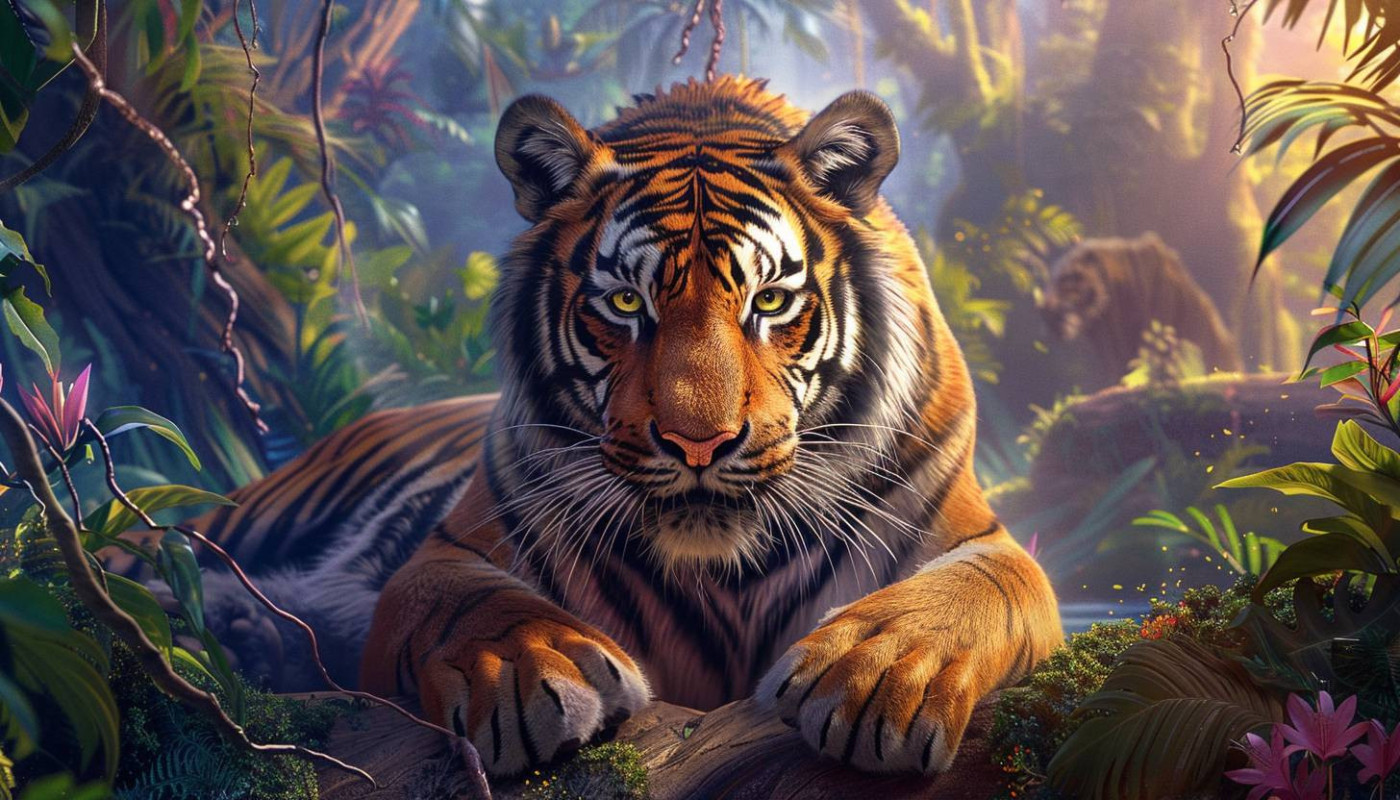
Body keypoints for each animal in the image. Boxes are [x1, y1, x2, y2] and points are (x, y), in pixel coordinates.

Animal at [191, 76, 1062, 778]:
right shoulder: (451, 548)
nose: (699, 444)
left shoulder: (981, 539)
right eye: (624, 302)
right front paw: (526, 672)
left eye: (770, 300)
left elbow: (976, 592)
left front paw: (878, 676)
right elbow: (468, 604)